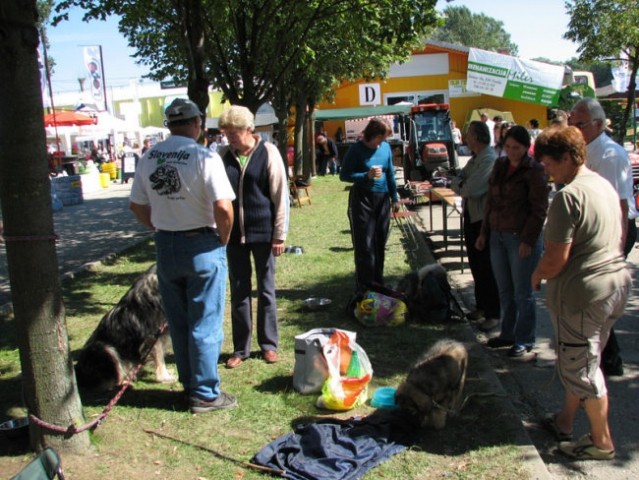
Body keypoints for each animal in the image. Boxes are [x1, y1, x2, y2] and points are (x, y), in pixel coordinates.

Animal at [74, 264, 175, 392]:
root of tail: (78, 373)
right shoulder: (153, 336)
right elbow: (160, 359)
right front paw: (164, 378)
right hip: (103, 348)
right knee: (110, 381)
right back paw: (125, 382)